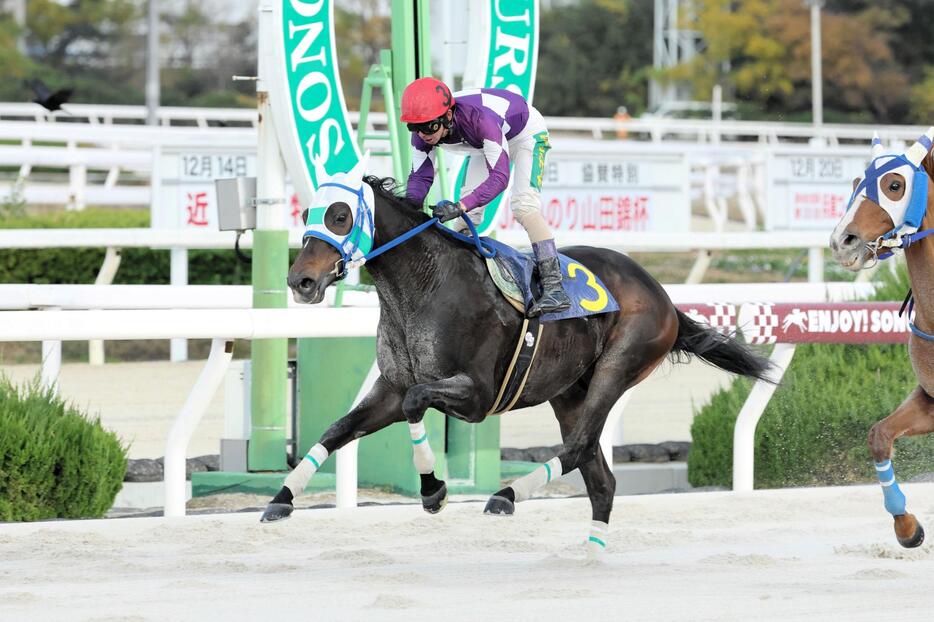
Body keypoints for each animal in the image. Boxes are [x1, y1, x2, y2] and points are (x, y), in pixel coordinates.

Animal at [260, 158, 772, 560]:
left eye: (340, 215)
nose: (301, 281)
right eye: (308, 212)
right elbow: (337, 430)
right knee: (599, 475)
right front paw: (281, 498)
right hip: (568, 392)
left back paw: (505, 496)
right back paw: (590, 552)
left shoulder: (476, 395)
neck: (426, 285)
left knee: (580, 447)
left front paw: (434, 491)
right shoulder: (390, 386)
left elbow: (416, 402)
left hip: (619, 364)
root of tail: (662, 295)